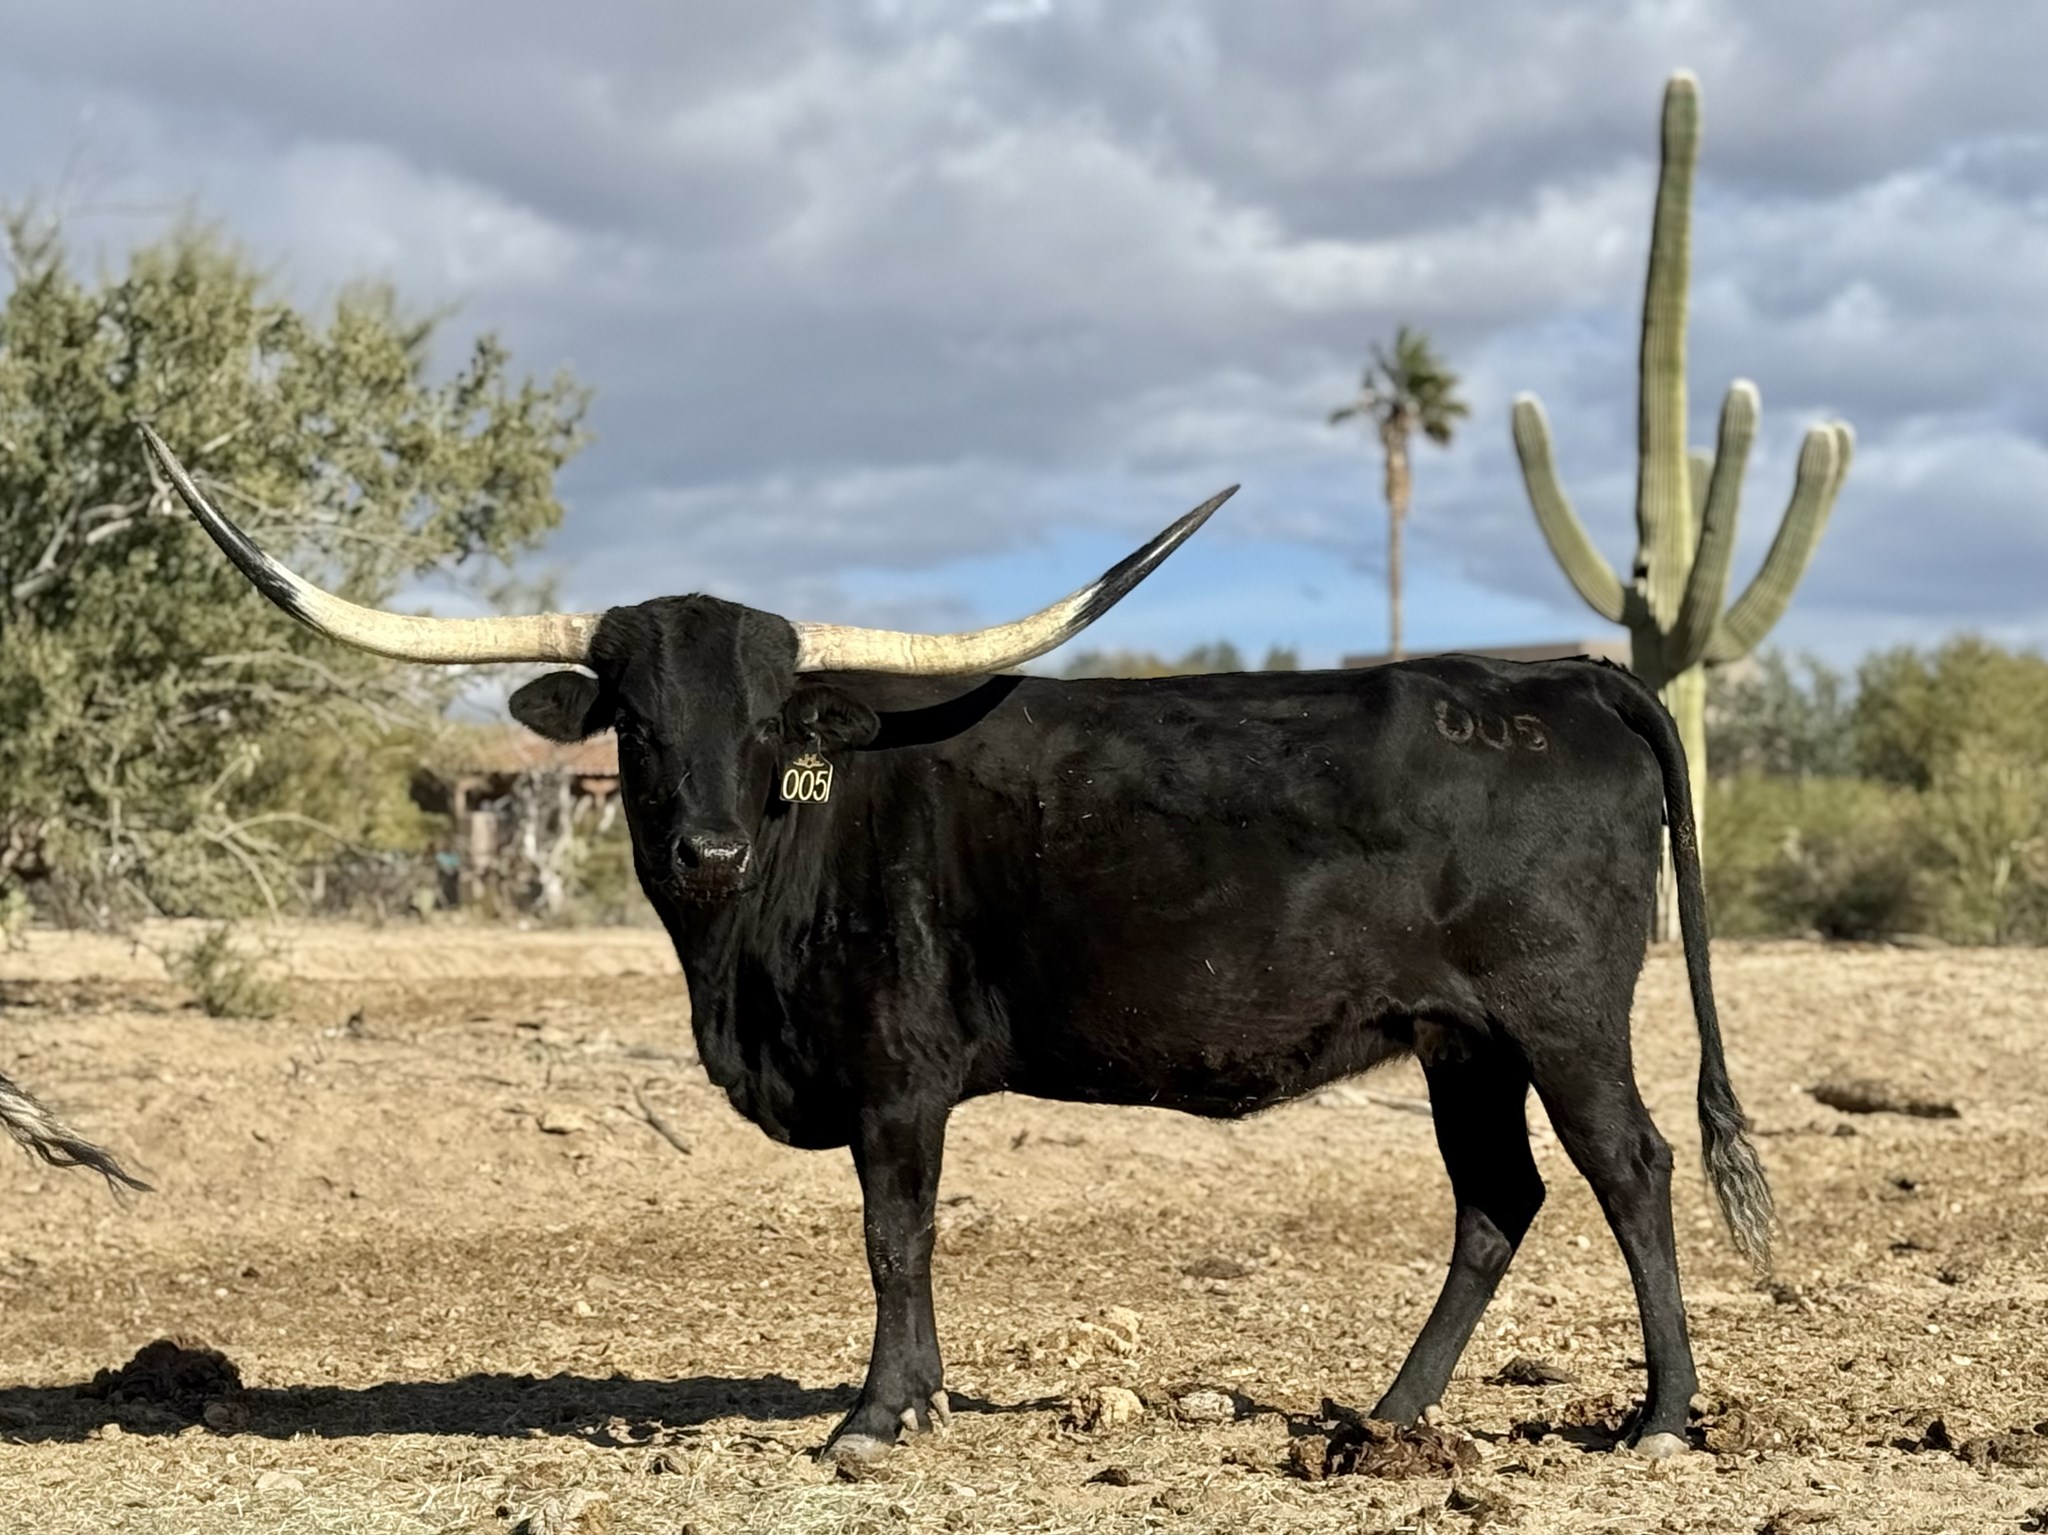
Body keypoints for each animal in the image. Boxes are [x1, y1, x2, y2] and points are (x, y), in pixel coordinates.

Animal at [143, 425, 1769, 1462]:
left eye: (769, 722)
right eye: (640, 726)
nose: (710, 847)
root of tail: (1565, 676)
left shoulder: (898, 1076)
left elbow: (895, 1234)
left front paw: (877, 1414)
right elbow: (902, 1239)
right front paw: (913, 1402)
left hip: (1562, 1015)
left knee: (1631, 1170)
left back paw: (1659, 1418)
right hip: (1458, 1041)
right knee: (1498, 1198)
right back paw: (1389, 1416)